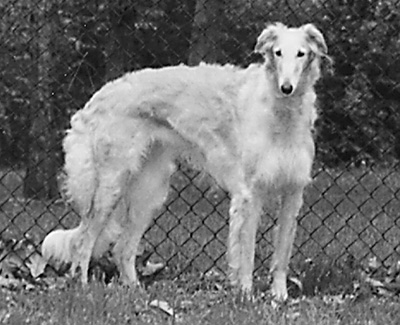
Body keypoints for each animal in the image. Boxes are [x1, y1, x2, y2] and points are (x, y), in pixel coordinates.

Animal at [44, 21, 332, 298]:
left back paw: (134, 290)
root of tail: (95, 100)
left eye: (301, 53)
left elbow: (282, 257)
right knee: (83, 242)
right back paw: (83, 288)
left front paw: (280, 297)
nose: (287, 88)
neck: (281, 114)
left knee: (122, 249)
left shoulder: (293, 193)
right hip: (110, 187)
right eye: (278, 52)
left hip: (149, 192)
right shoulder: (250, 195)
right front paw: (246, 296)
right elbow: (246, 256)